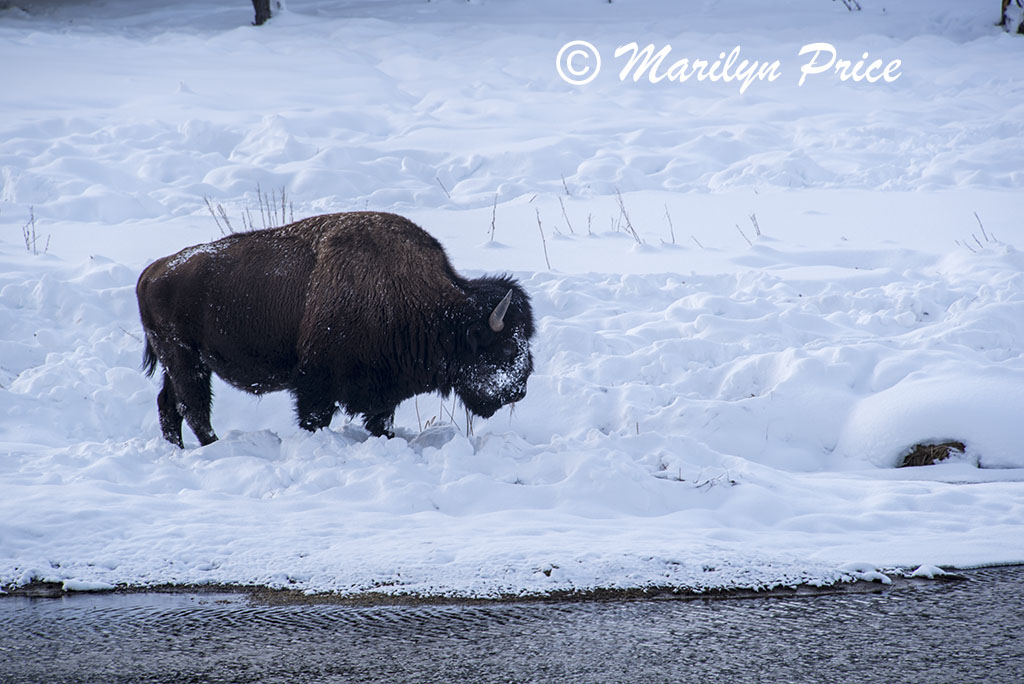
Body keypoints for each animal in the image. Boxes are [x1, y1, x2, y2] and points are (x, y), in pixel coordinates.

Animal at [137, 214, 536, 448]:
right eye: (505, 348)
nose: (519, 390)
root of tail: (153, 271)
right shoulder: (316, 385)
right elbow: (316, 419)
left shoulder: (383, 393)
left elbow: (382, 422)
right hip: (185, 359)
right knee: (193, 407)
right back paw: (213, 446)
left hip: (181, 363)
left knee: (169, 404)